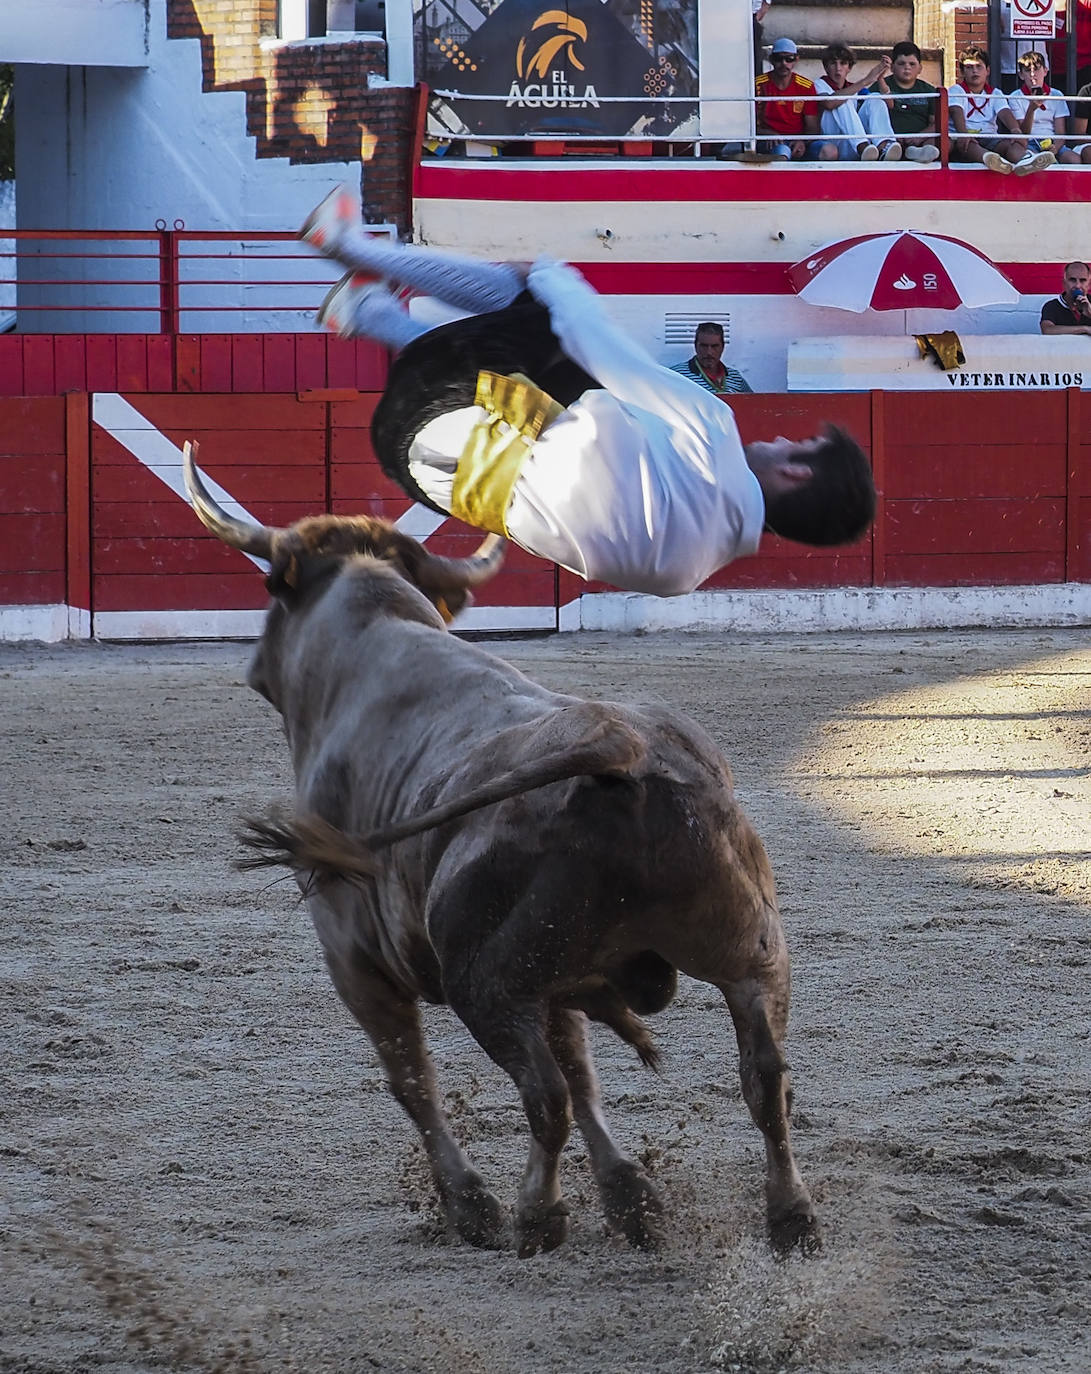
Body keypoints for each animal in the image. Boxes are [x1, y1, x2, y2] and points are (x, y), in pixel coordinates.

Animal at [182, 447, 813, 1258]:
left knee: (543, 1093)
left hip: (482, 982)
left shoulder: (352, 955)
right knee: (763, 1077)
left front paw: (470, 1202)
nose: (254, 665)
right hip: (750, 952)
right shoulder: (558, 980)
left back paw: (534, 1212)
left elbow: (412, 1077)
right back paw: (790, 1216)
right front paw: (629, 1196)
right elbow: (582, 1065)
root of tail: (622, 749)